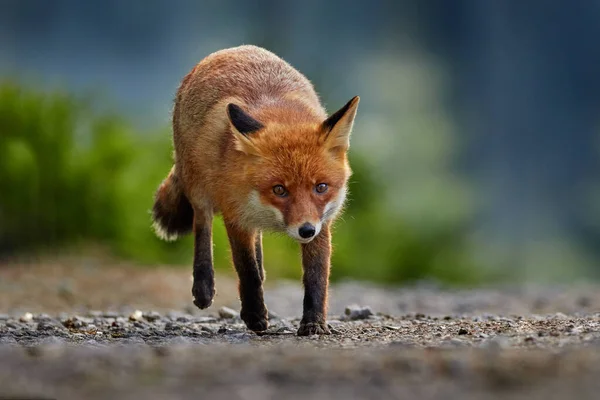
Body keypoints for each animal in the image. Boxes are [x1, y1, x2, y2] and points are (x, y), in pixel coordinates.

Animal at [152, 45, 358, 336]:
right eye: (279, 189)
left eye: (321, 187)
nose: (306, 230)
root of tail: (232, 49)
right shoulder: (236, 215)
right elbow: (245, 269)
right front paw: (254, 316)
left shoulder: (322, 222)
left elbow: (316, 278)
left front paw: (314, 322)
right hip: (198, 186)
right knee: (202, 225)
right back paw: (204, 287)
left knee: (257, 244)